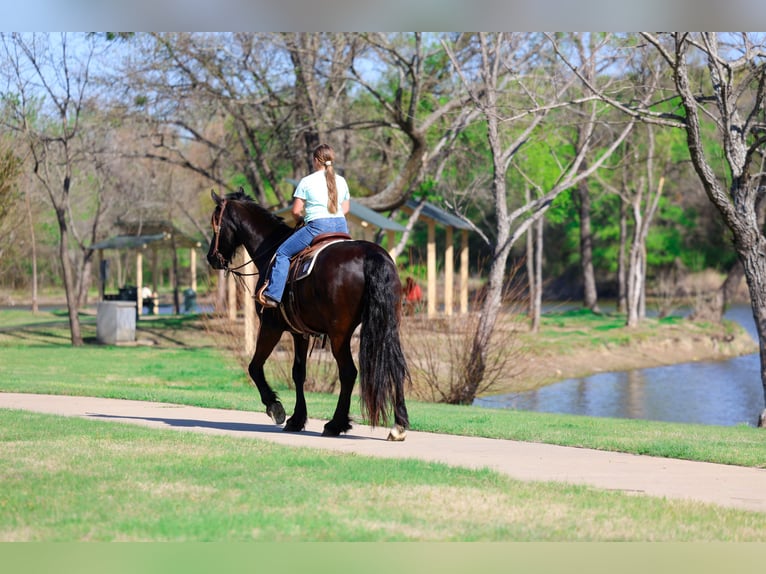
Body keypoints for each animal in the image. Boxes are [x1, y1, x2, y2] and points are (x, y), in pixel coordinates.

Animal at [206, 189, 410, 441]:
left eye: (215, 223)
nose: (211, 258)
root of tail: (372, 256)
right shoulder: (300, 333)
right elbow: (298, 372)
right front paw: (297, 418)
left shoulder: (271, 327)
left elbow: (255, 367)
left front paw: (276, 408)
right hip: (388, 326)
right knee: (395, 366)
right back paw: (398, 425)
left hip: (339, 334)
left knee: (348, 372)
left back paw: (335, 424)